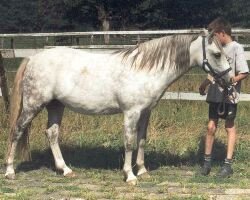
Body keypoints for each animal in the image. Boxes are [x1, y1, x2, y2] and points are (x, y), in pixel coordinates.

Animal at [5, 31, 232, 184]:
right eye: (216, 54)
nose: (229, 80)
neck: (144, 69)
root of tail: (32, 58)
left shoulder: (145, 112)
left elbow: (141, 140)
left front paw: (142, 171)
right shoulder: (131, 113)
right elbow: (129, 142)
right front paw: (130, 176)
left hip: (55, 106)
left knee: (52, 133)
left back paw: (66, 169)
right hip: (33, 105)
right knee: (17, 131)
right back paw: (10, 171)